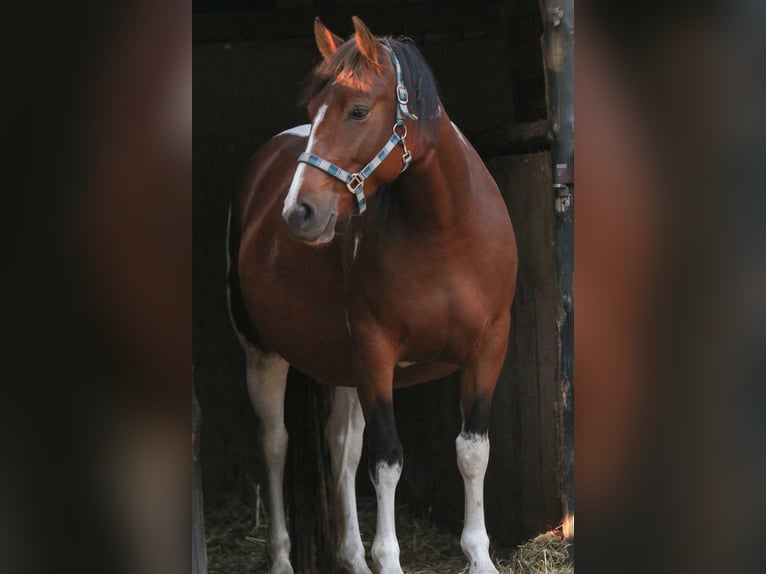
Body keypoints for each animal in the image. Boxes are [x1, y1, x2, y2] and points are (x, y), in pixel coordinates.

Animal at [227, 16, 517, 574]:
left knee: (342, 447)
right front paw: (389, 559)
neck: (447, 236)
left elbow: (473, 450)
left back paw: (353, 557)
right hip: (264, 353)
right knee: (275, 446)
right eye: (312, 112)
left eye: (358, 110)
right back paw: (282, 558)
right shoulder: (375, 352)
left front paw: (479, 556)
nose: (298, 213)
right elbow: (387, 461)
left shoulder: (488, 347)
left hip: (342, 367)